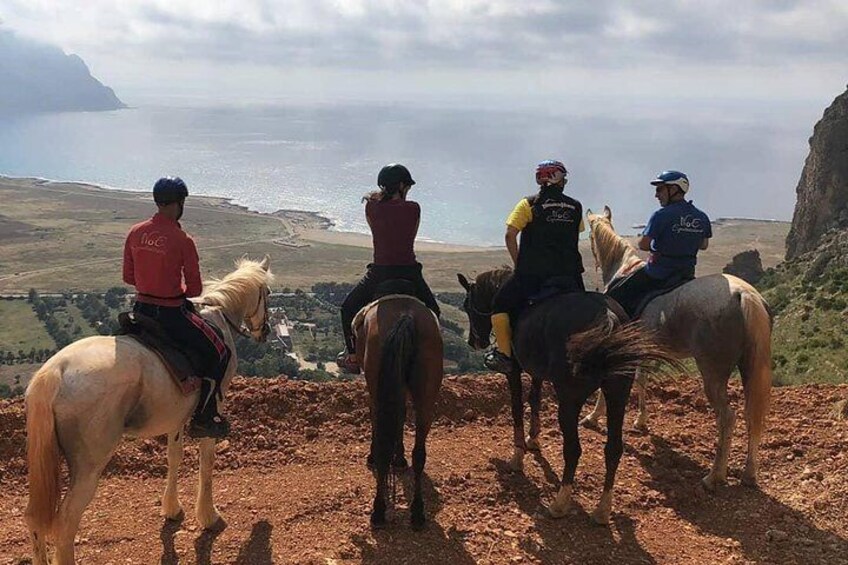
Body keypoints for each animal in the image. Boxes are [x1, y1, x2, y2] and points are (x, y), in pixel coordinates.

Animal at [25, 256, 272, 564]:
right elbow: (207, 460)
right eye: (268, 293)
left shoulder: (176, 415)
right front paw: (208, 515)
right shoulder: (214, 405)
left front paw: (172, 509)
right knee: (66, 520)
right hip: (88, 465)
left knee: (34, 519)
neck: (221, 314)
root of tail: (55, 372)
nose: (265, 331)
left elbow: (174, 456)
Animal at [352, 294, 444, 528]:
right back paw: (418, 512)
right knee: (419, 453)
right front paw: (400, 458)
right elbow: (400, 417)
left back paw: (378, 510)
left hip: (378, 384)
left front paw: (377, 456)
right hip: (426, 396)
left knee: (383, 441)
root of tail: (406, 316)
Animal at [458, 268, 684, 524]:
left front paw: (517, 457)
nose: (474, 342)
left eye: (467, 305)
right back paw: (602, 510)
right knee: (614, 449)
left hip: (570, 400)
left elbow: (517, 408)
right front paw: (534, 440)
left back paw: (560, 504)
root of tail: (608, 319)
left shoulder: (514, 371)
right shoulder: (537, 372)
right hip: (618, 394)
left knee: (573, 449)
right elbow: (534, 400)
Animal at [584, 207, 776, 490]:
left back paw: (714, 476)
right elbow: (642, 380)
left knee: (728, 418)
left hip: (713, 372)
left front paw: (594, 417)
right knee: (752, 415)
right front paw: (641, 422)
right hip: (749, 367)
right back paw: (749, 474)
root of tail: (746, 296)